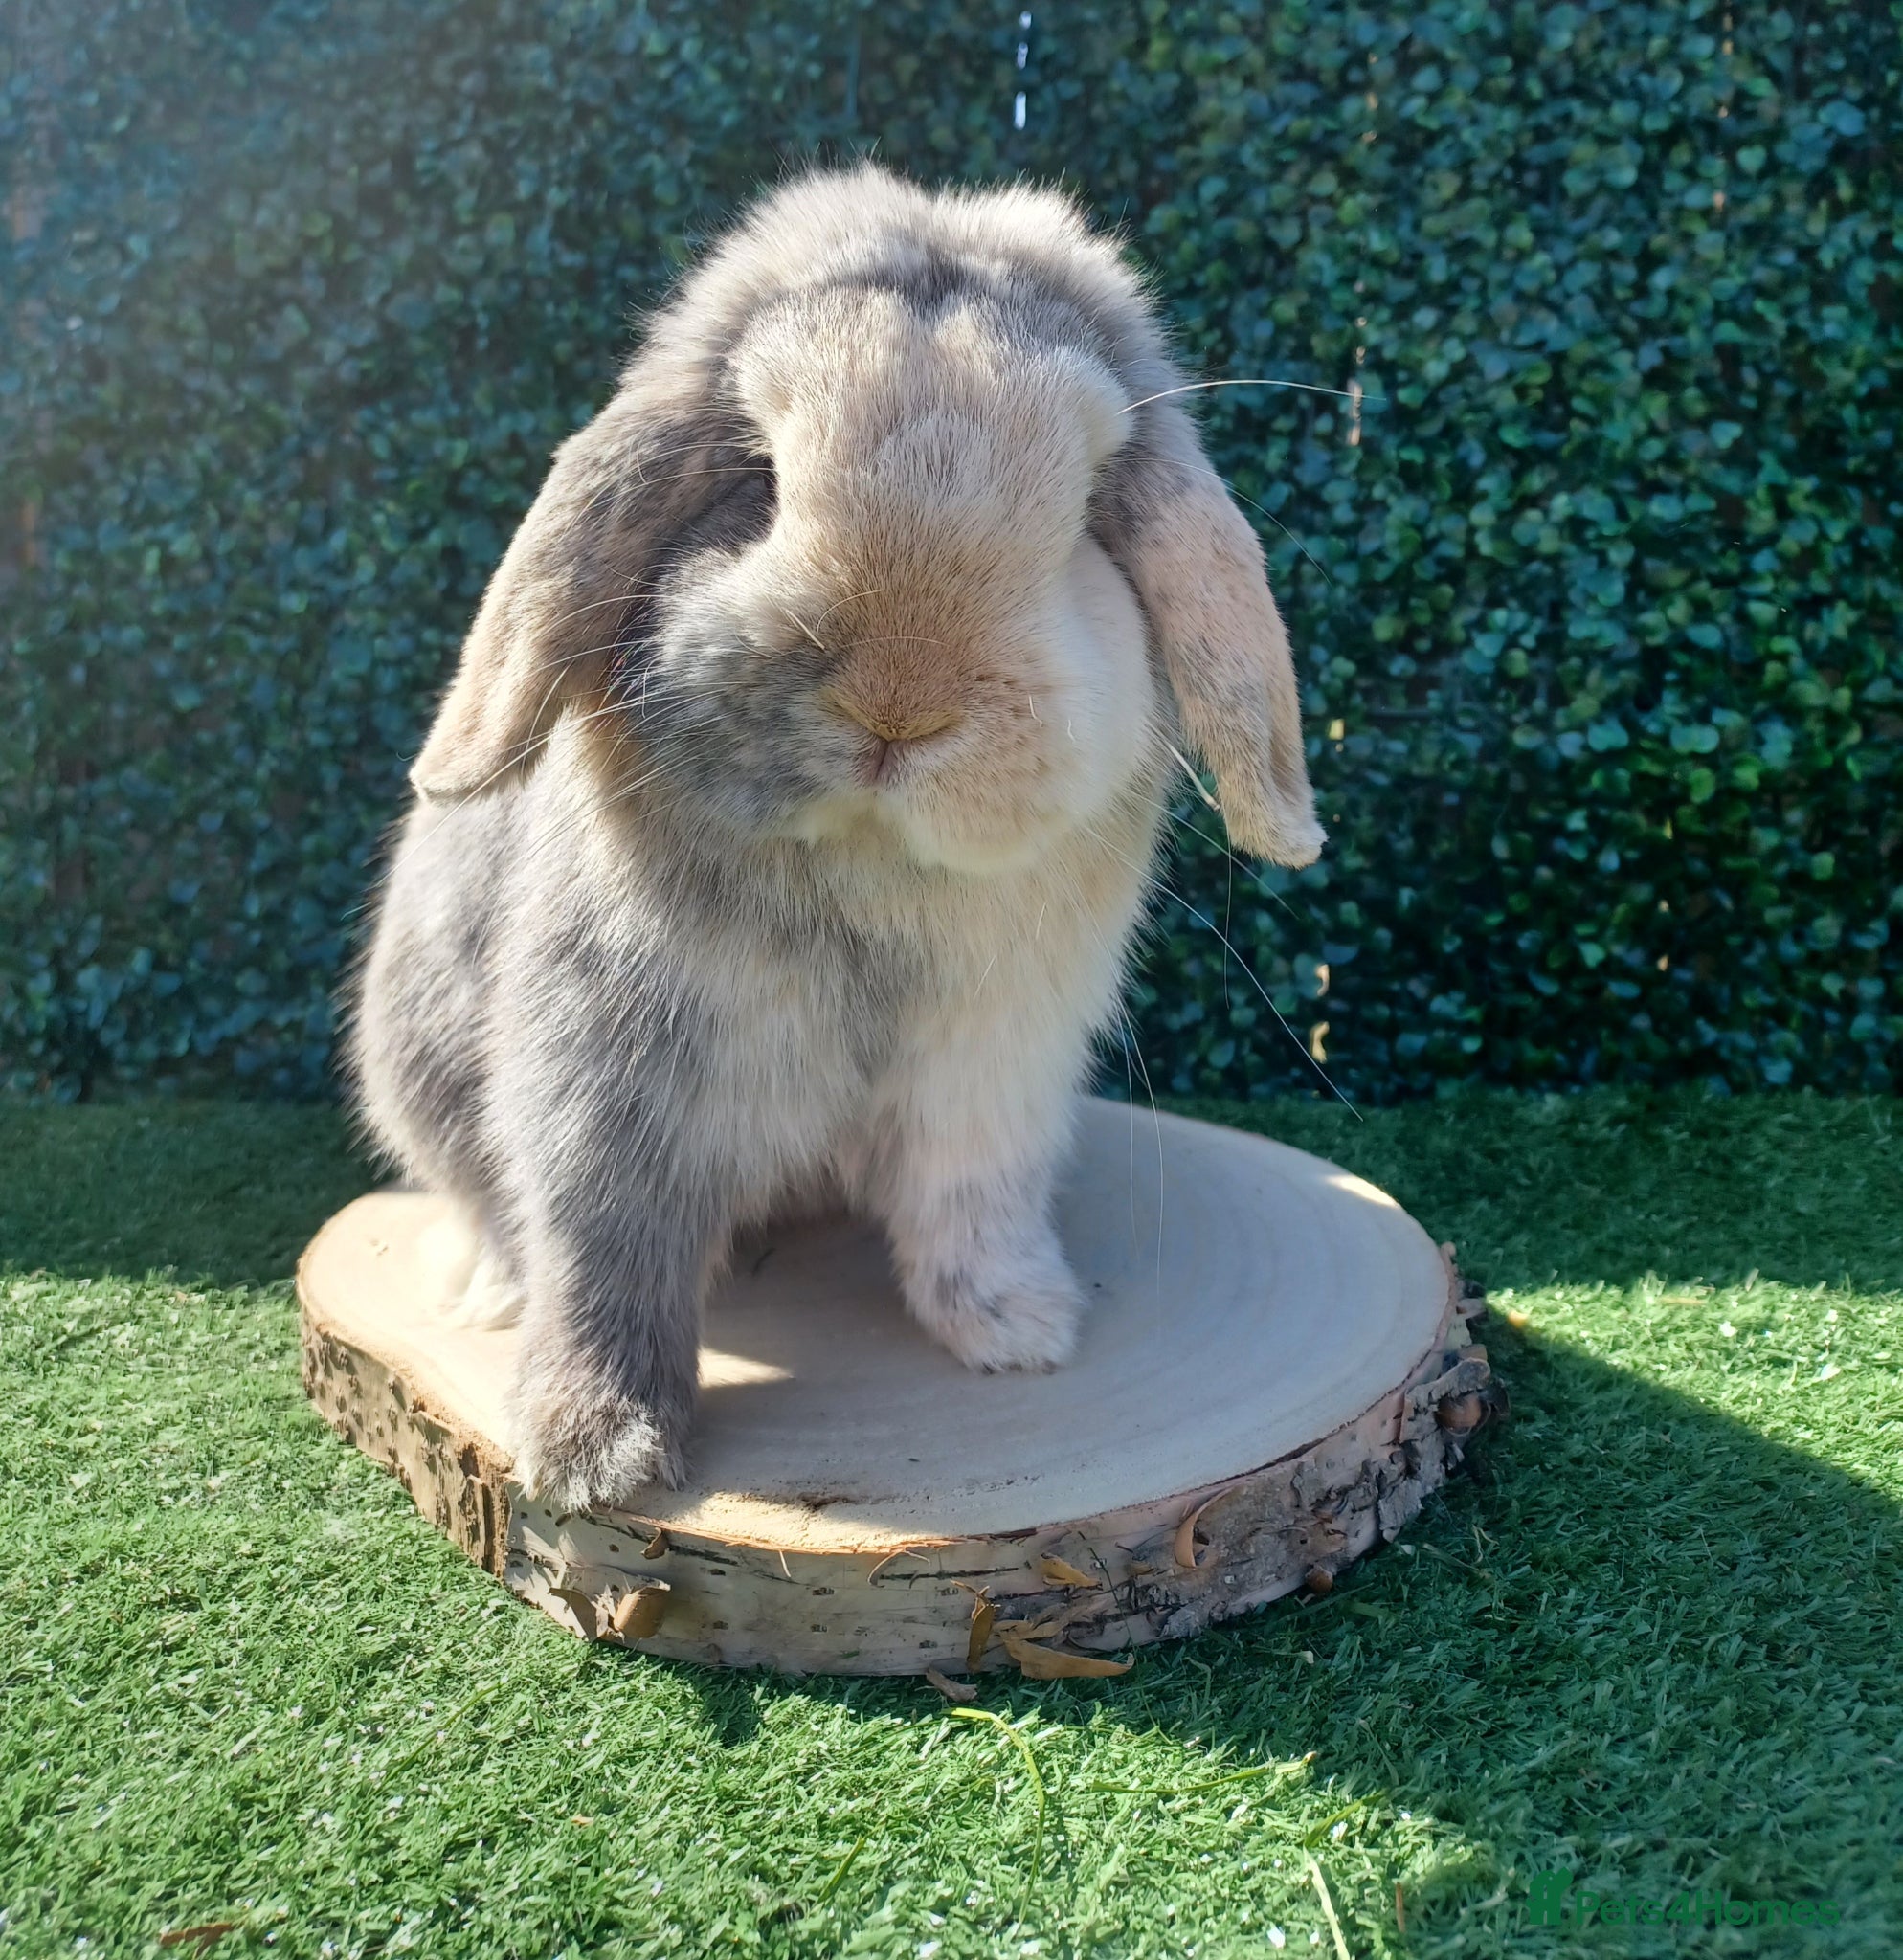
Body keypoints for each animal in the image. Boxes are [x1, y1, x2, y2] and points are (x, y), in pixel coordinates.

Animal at [348, 163, 1324, 1514]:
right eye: (757, 477)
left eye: (1085, 511)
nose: (897, 704)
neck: (871, 869)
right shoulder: (604, 1080)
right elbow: (604, 1251)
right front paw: (597, 1454)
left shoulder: (993, 1072)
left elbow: (970, 1203)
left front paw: (1019, 1330)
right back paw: (495, 1290)